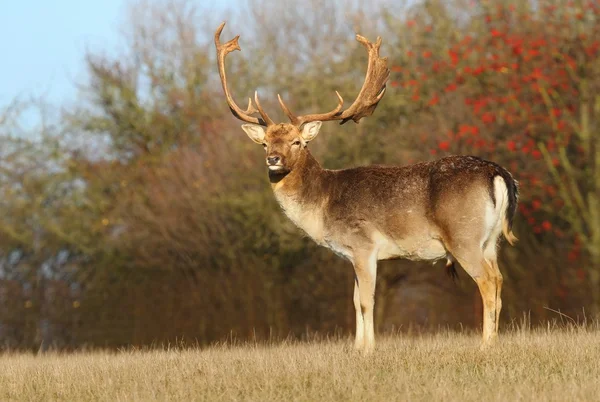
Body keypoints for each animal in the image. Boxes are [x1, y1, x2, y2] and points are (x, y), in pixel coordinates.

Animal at [214, 22, 516, 354]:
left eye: (297, 141)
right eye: (266, 142)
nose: (273, 159)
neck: (323, 206)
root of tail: (498, 173)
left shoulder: (364, 245)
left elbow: (366, 302)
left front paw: (369, 348)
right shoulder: (351, 253)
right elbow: (355, 299)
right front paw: (357, 348)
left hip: (463, 236)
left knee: (487, 282)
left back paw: (485, 345)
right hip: (490, 240)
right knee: (499, 279)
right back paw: (494, 340)